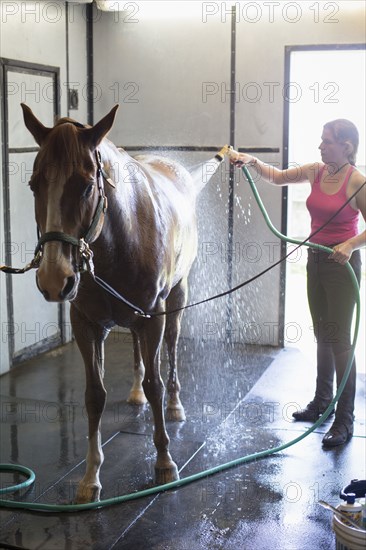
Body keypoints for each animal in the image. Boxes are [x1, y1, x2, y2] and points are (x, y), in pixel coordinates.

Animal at [22, 102, 226, 504]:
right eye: (34, 184)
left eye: (87, 185)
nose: (55, 279)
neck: (118, 237)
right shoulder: (86, 324)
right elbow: (94, 395)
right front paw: (90, 477)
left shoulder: (154, 316)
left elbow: (156, 383)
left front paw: (164, 462)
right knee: (135, 352)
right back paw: (134, 393)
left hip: (175, 301)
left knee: (172, 351)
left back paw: (175, 406)